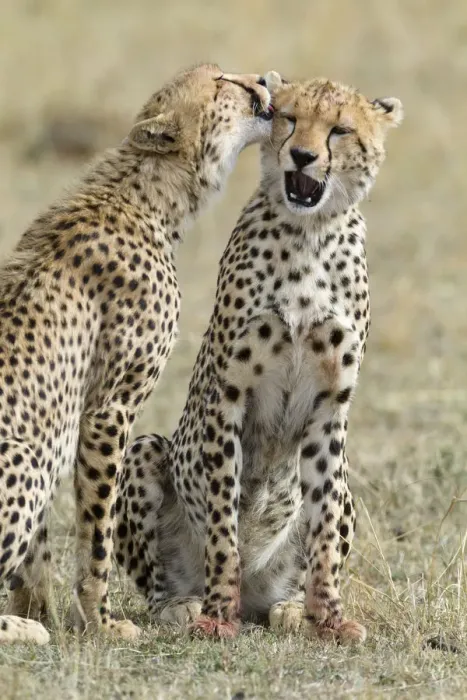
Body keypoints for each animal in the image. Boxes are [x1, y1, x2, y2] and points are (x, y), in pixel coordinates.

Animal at [0, 62, 277, 644]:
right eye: (222, 82)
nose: (265, 80)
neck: (142, 196)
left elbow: (38, 556)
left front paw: (44, 612)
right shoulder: (109, 410)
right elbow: (97, 536)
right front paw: (102, 624)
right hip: (22, 457)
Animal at [115, 72, 403, 643]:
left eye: (339, 129)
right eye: (289, 119)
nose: (302, 156)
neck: (309, 234)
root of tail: (256, 594)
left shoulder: (330, 407)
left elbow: (323, 532)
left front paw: (328, 618)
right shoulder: (228, 396)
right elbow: (223, 522)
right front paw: (215, 614)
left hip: (346, 491)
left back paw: (289, 606)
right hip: (145, 450)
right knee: (158, 579)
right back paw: (184, 604)